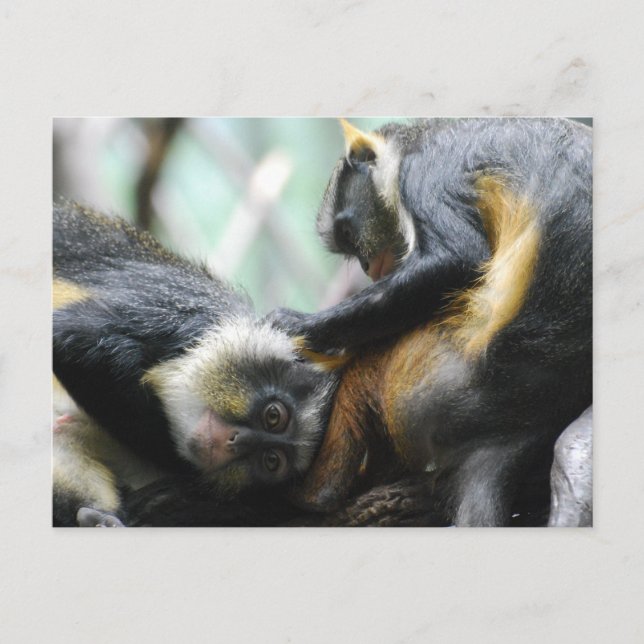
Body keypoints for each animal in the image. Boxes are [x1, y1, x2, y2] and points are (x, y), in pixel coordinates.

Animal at [270, 118, 592, 356]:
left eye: (348, 233)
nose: (365, 265)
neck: (407, 149)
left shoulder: (420, 173)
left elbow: (459, 257)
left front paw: (304, 326)